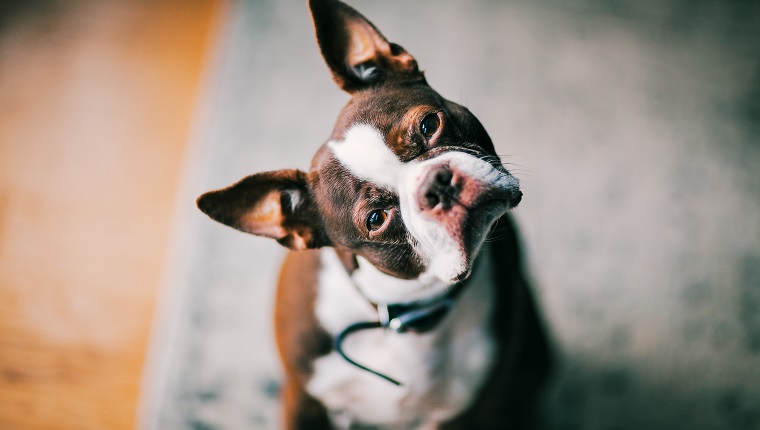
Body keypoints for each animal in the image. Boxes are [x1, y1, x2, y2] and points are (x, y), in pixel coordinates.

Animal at [196, 0, 552, 426]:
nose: (437, 185)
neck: (403, 314)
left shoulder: (470, 411)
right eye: (376, 219)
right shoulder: (302, 398)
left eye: (430, 124)